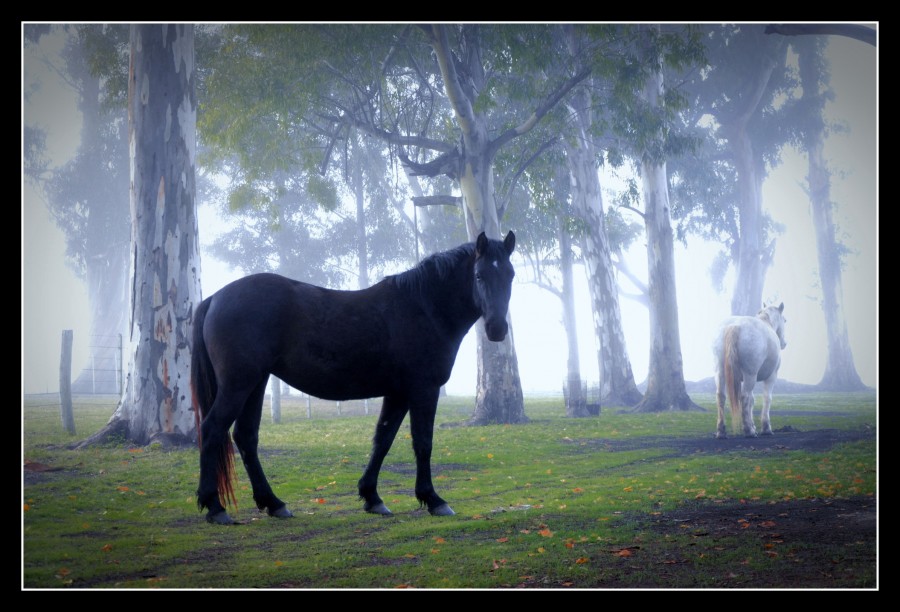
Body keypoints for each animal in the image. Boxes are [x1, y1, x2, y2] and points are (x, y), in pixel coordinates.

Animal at [191, 232, 516, 524]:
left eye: (510, 275)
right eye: (479, 275)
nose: (497, 328)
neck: (422, 307)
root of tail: (216, 298)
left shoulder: (398, 393)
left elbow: (382, 440)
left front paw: (372, 497)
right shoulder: (423, 389)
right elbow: (423, 443)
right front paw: (433, 499)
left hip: (255, 385)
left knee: (246, 437)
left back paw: (274, 503)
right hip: (238, 385)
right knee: (212, 429)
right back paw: (215, 507)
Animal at [712, 302, 784, 438]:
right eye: (785, 320)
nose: (784, 343)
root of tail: (735, 325)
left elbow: (752, 400)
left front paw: (753, 426)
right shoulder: (771, 377)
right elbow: (766, 398)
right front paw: (765, 428)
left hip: (721, 373)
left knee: (721, 396)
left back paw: (721, 431)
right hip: (750, 375)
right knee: (744, 396)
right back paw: (748, 431)